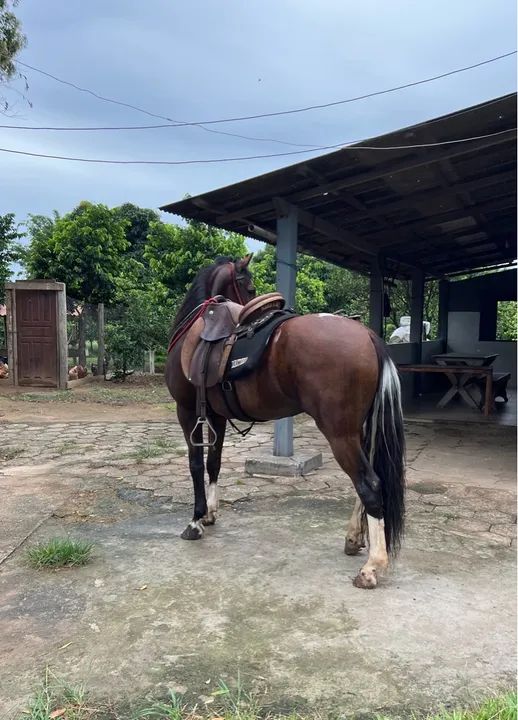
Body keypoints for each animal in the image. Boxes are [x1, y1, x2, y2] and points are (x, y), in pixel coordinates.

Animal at [165, 255, 405, 589]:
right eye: (250, 287)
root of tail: (368, 335)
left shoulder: (187, 411)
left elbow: (195, 465)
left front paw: (195, 521)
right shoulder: (216, 416)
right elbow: (213, 463)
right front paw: (210, 514)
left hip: (340, 434)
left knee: (369, 484)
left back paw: (372, 567)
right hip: (360, 431)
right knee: (369, 482)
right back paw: (354, 539)